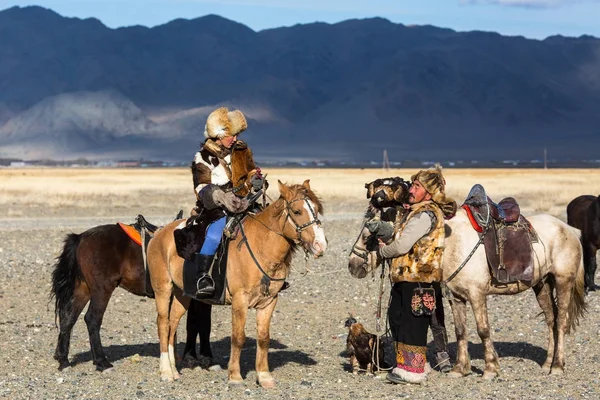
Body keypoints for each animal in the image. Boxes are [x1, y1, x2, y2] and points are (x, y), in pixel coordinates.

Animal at [49, 219, 213, 372]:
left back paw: (63, 360)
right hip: (102, 290)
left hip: (83, 289)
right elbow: (200, 324)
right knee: (92, 319)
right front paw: (199, 359)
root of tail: (80, 237)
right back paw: (102, 362)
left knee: (68, 318)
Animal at [146, 180, 326, 386]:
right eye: (296, 211)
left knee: (173, 323)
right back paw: (166, 372)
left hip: (182, 293)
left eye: (317, 210)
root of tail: (159, 233)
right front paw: (235, 376)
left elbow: (263, 338)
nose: (321, 246)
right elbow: (238, 337)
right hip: (163, 288)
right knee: (163, 323)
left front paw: (264, 377)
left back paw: (174, 370)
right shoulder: (240, 300)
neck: (261, 246)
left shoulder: (269, 302)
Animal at [346, 183, 584, 380]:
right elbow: (460, 330)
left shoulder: (477, 295)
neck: (451, 243)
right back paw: (546, 364)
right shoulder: (456, 298)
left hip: (563, 281)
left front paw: (490, 369)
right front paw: (460, 369)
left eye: (368, 236)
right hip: (542, 284)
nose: (352, 265)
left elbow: (483, 330)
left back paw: (557, 366)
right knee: (551, 320)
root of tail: (571, 230)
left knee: (561, 321)